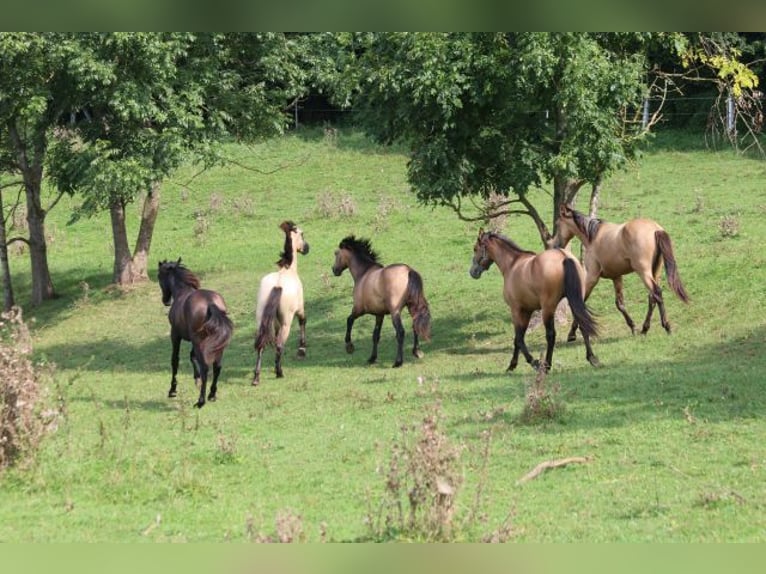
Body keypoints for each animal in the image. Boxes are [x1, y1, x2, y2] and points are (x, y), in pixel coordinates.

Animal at [157, 258, 234, 412]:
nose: (165, 301)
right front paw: (196, 378)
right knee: (217, 367)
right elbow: (192, 356)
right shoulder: (194, 340)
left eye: (159, 277)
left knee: (206, 367)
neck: (181, 292)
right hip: (216, 344)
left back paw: (201, 401)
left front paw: (172, 390)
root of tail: (210, 303)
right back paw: (212, 394)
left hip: (199, 341)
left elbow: (175, 360)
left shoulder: (175, 335)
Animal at [254, 220, 310, 388]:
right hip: (287, 322)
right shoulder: (300, 309)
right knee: (279, 344)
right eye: (302, 234)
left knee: (261, 345)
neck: (287, 270)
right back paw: (279, 372)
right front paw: (302, 349)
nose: (307, 248)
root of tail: (277, 285)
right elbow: (303, 321)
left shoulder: (276, 322)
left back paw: (256, 378)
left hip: (261, 321)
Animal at [332, 237, 436, 368]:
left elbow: (349, 320)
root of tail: (409, 270)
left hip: (395, 312)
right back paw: (417, 352)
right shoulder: (379, 314)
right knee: (415, 326)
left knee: (400, 332)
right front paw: (372, 358)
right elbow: (375, 335)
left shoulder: (359, 309)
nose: (334, 270)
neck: (363, 273)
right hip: (412, 307)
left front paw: (349, 346)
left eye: (336, 253)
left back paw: (398, 362)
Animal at [468, 230, 600, 374]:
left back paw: (546, 366)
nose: (473, 272)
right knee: (582, 325)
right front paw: (512, 365)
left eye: (475, 248)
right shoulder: (527, 311)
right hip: (576, 301)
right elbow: (518, 339)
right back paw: (591, 358)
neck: (512, 264)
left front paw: (533, 362)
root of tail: (564, 256)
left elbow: (519, 338)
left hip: (548, 309)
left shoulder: (516, 310)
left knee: (551, 335)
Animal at [552, 205, 688, 340]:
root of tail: (655, 229)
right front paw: (633, 327)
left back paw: (667, 326)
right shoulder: (616, 277)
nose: (556, 245)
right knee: (652, 298)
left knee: (657, 293)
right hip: (655, 271)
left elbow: (581, 302)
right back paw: (644, 329)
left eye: (557, 224)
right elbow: (620, 304)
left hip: (643, 272)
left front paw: (571, 334)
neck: (593, 237)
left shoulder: (592, 277)